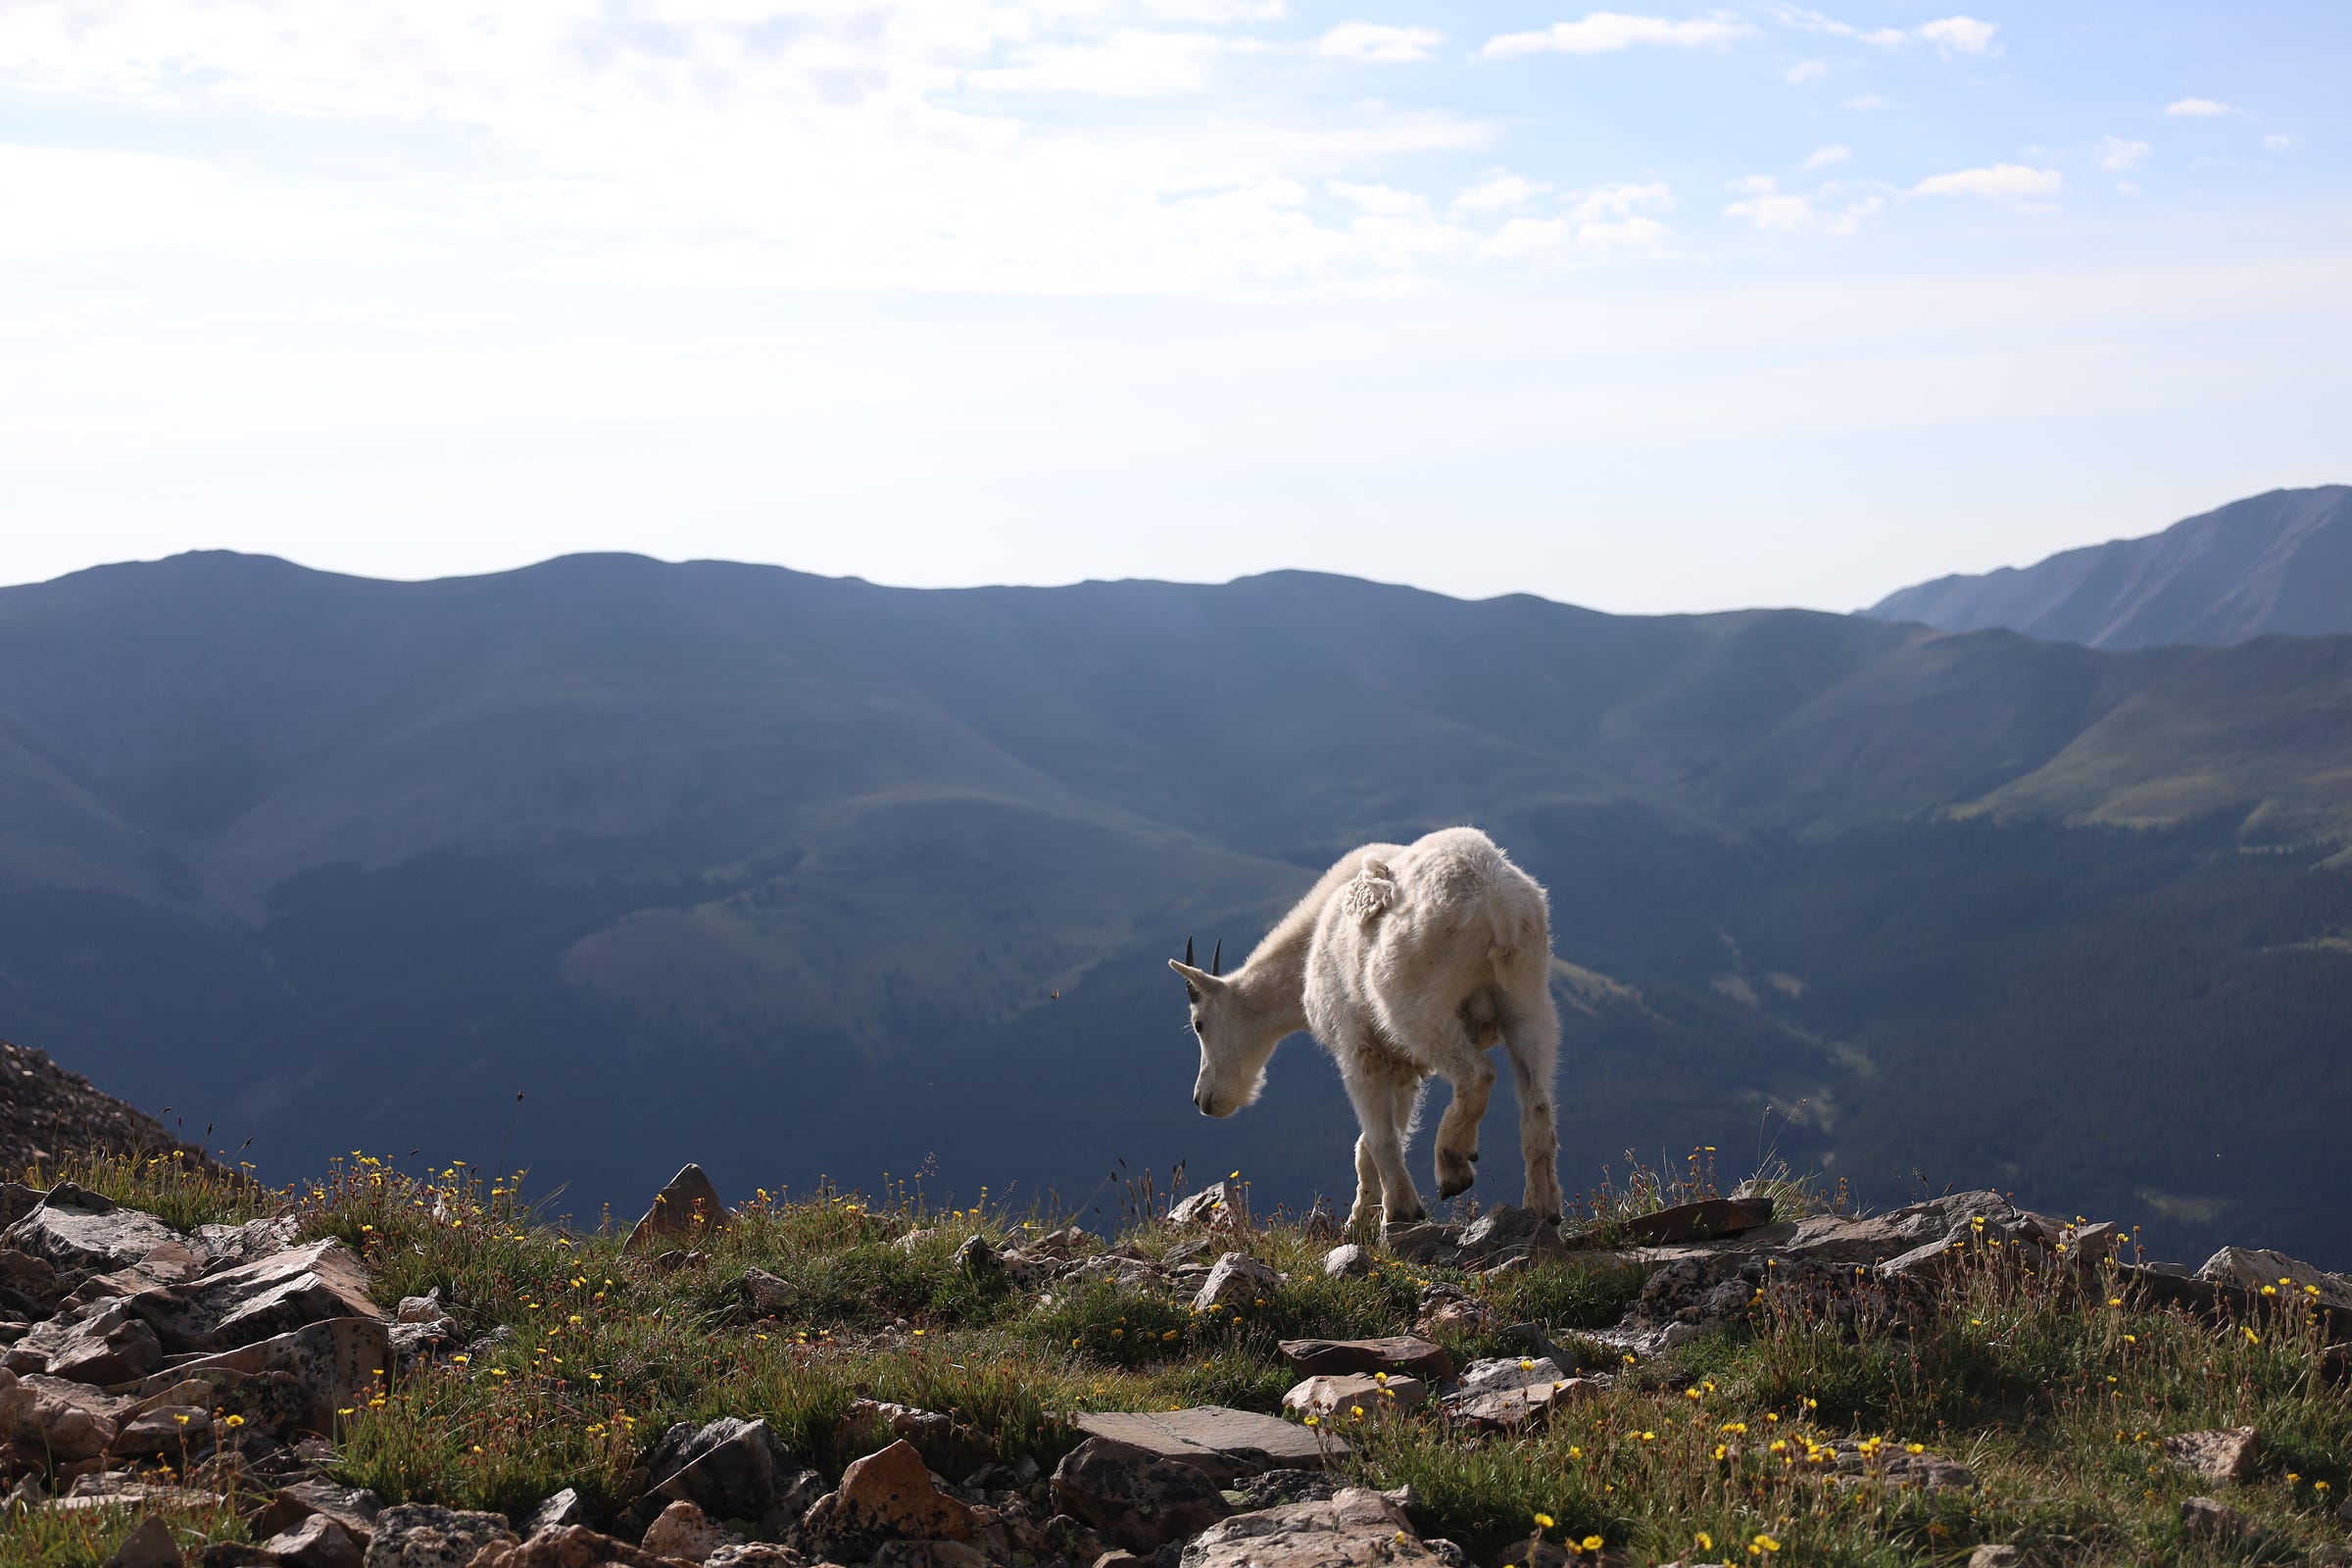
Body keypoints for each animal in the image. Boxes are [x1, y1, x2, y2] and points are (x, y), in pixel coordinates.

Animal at [1171, 827, 1561, 1231]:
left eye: (1199, 1024)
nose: (1203, 1099)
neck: (1306, 952)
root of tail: (1499, 909)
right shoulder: (1400, 1063)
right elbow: (1380, 1138)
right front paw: (1362, 1216)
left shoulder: (1357, 1044)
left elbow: (1378, 1138)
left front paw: (1398, 1210)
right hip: (1527, 998)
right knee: (1537, 1098)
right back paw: (1542, 1207)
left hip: (1417, 1008)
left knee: (1478, 1073)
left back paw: (1453, 1163)